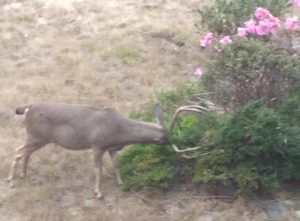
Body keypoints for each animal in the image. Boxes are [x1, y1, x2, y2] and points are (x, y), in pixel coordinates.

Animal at [6, 102, 209, 199]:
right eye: (165, 141)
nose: (173, 142)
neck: (119, 131)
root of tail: (27, 108)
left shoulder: (113, 148)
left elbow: (116, 164)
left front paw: (121, 183)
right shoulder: (97, 145)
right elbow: (99, 169)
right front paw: (98, 193)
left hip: (37, 138)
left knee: (23, 151)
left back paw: (22, 175)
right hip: (37, 136)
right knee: (18, 151)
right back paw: (11, 180)